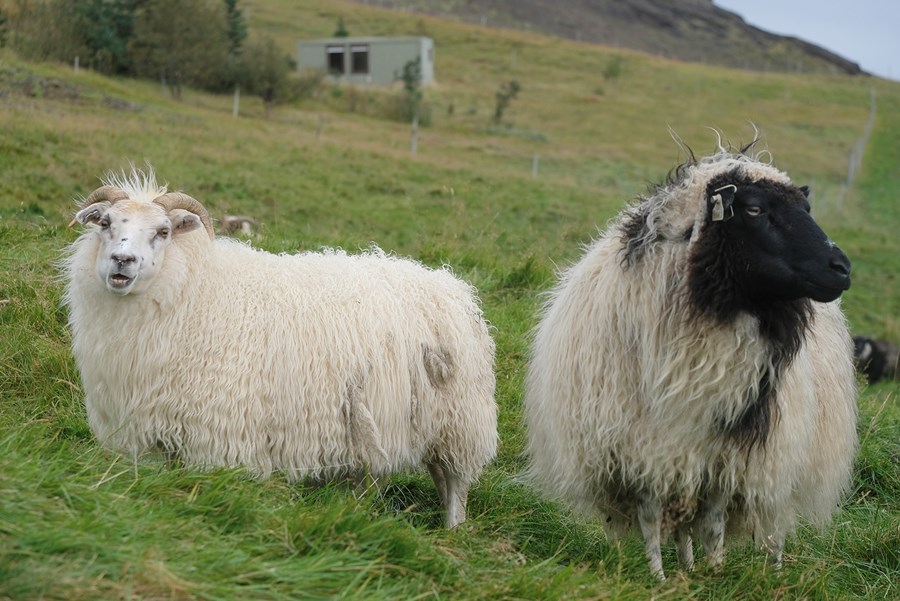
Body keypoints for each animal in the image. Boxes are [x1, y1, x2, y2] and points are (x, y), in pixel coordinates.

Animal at [63, 166, 500, 528]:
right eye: (105, 223)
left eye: (164, 231)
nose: (123, 261)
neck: (193, 288)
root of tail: (453, 286)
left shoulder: (221, 433)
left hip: (458, 422)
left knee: (454, 484)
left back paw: (452, 531)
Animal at [528, 139, 856, 576]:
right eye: (754, 209)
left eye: (807, 209)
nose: (842, 268)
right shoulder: (640, 446)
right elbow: (651, 516)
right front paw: (658, 576)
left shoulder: (728, 452)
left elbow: (714, 520)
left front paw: (715, 572)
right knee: (681, 521)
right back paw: (684, 566)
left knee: (774, 524)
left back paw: (771, 570)